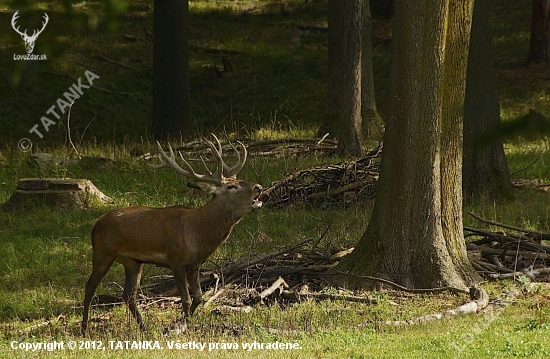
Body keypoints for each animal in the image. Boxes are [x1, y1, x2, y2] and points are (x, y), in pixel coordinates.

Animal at [81, 134, 264, 334]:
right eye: (231, 186)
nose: (259, 187)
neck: (198, 233)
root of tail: (96, 223)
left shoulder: (194, 265)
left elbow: (199, 297)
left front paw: (181, 324)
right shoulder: (176, 261)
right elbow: (186, 299)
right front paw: (180, 327)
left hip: (133, 261)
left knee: (128, 294)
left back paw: (144, 328)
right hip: (102, 252)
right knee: (90, 286)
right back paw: (84, 328)